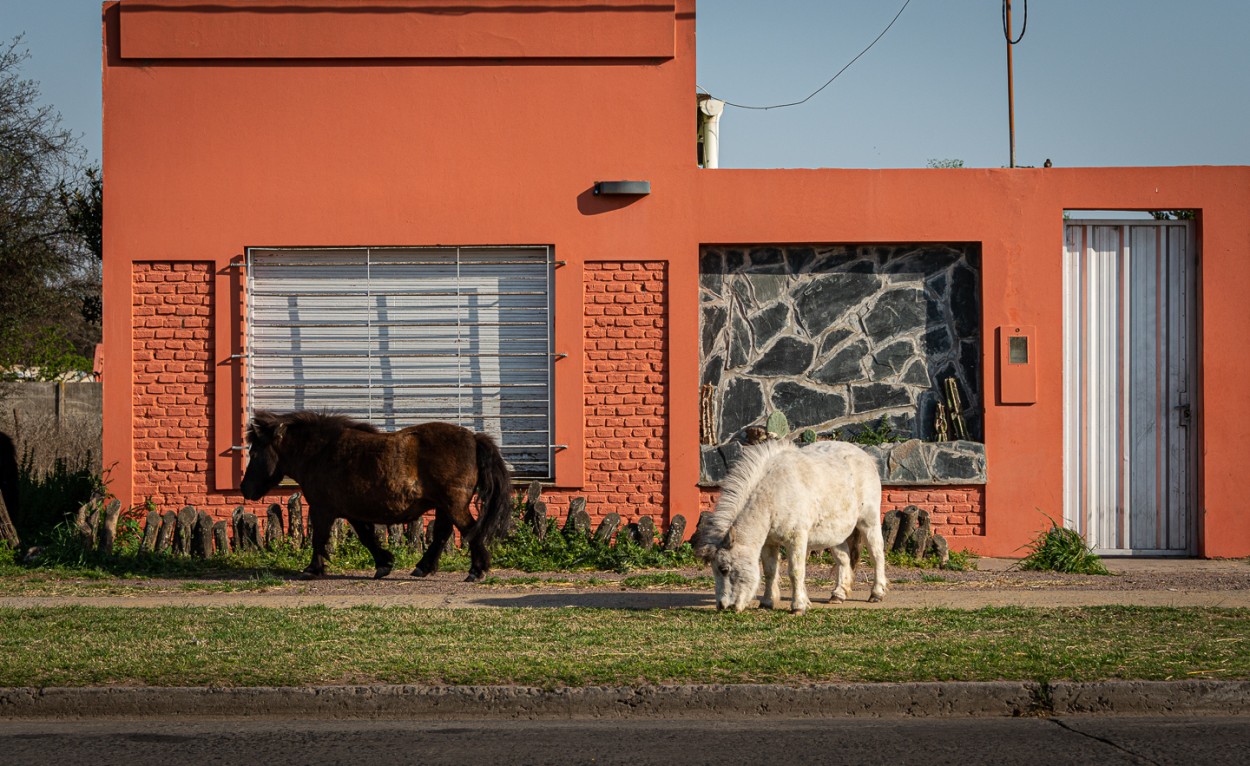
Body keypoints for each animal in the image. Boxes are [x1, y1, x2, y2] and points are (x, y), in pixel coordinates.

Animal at [238, 412, 512, 579]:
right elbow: (367, 537)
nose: (244, 489)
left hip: (453, 505)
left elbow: (319, 539)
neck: (321, 452)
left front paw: (313, 568)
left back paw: (476, 570)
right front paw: (384, 563)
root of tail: (473, 438)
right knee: (443, 535)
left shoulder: (322, 508)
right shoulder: (349, 510)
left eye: (255, 452)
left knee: (469, 530)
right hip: (444, 506)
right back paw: (423, 567)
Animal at [695, 439, 890, 612]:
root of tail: (866, 456)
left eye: (724, 569)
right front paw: (767, 602)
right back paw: (838, 594)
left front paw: (798, 606)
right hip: (835, 534)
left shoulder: (796, 539)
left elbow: (796, 571)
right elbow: (770, 571)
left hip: (869, 522)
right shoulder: (769, 543)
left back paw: (877, 593)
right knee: (844, 559)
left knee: (877, 555)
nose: (723, 606)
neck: (774, 492)